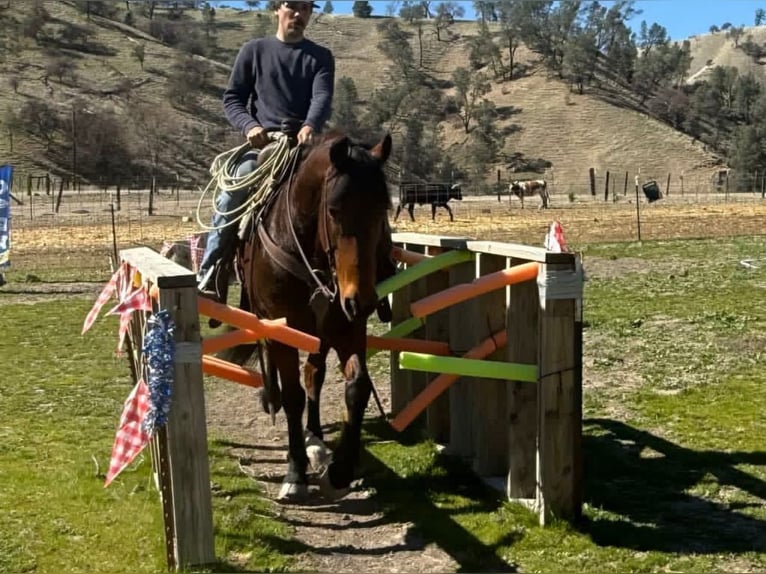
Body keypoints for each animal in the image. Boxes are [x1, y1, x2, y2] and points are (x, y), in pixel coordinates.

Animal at [236, 129, 396, 504]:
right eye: (334, 210)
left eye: (382, 208)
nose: (360, 299)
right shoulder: (283, 331)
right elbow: (293, 396)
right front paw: (295, 474)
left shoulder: (346, 328)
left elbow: (357, 387)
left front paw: (340, 469)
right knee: (280, 373)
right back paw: (273, 400)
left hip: (320, 334)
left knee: (314, 375)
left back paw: (316, 438)